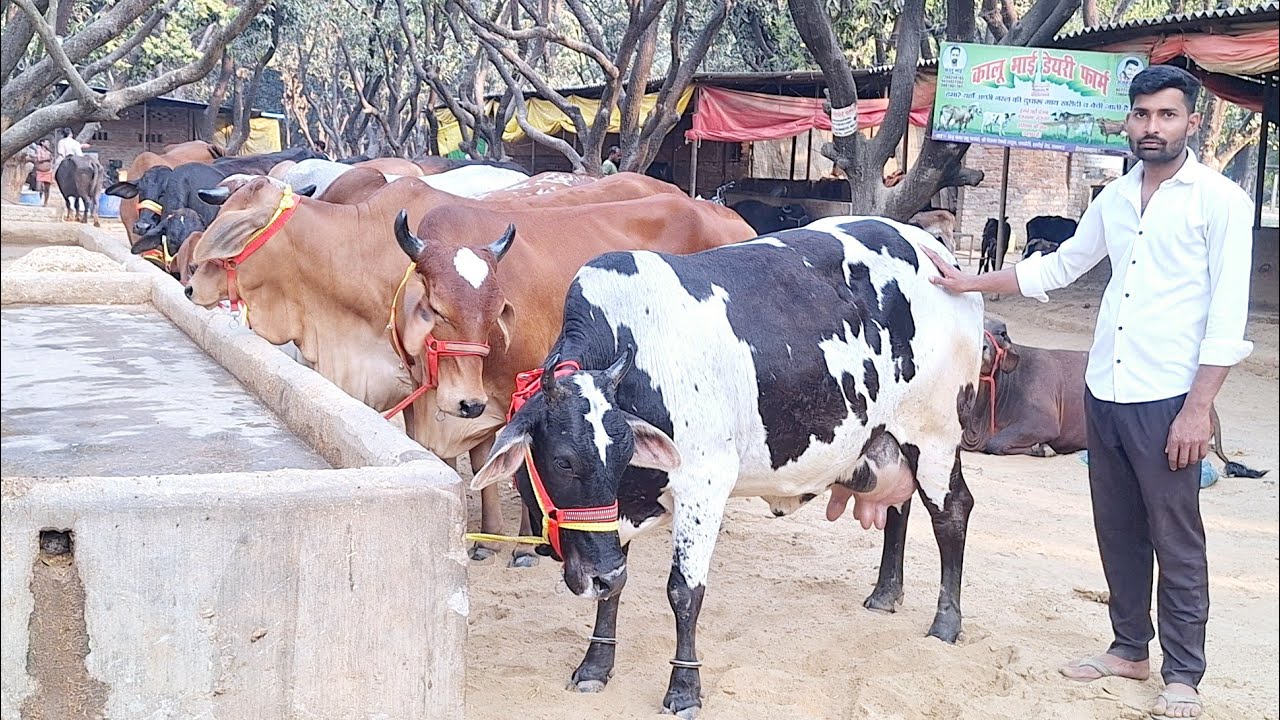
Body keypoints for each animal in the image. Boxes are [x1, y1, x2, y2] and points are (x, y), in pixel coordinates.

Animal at [183, 173, 752, 563]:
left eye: (237, 228)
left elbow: (512, 456)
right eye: (435, 308)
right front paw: (490, 535)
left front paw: (523, 542)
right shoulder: (425, 395)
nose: (190, 284)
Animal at [466, 216, 983, 717]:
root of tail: (932, 249)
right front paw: (595, 665)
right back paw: (885, 594)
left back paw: (945, 622)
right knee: (900, 508)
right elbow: (617, 586)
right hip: (888, 439)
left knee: (952, 513)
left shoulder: (704, 484)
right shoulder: (618, 513)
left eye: (611, 455)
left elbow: (684, 591)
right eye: (563, 460)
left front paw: (684, 689)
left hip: (934, 435)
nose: (597, 574)